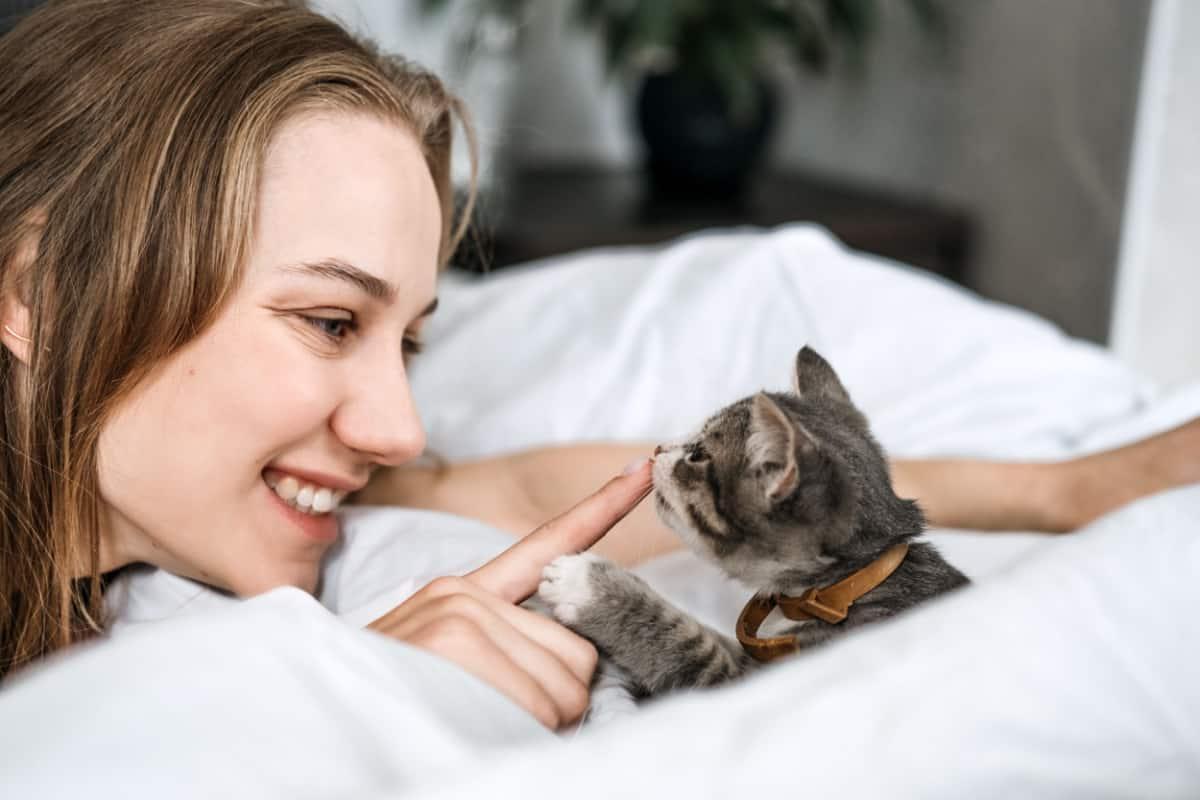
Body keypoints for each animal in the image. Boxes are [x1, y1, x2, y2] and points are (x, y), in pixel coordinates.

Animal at [540, 347, 969, 695]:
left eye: (697, 456)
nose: (659, 448)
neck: (844, 586)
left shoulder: (756, 679)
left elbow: (695, 646)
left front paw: (590, 587)